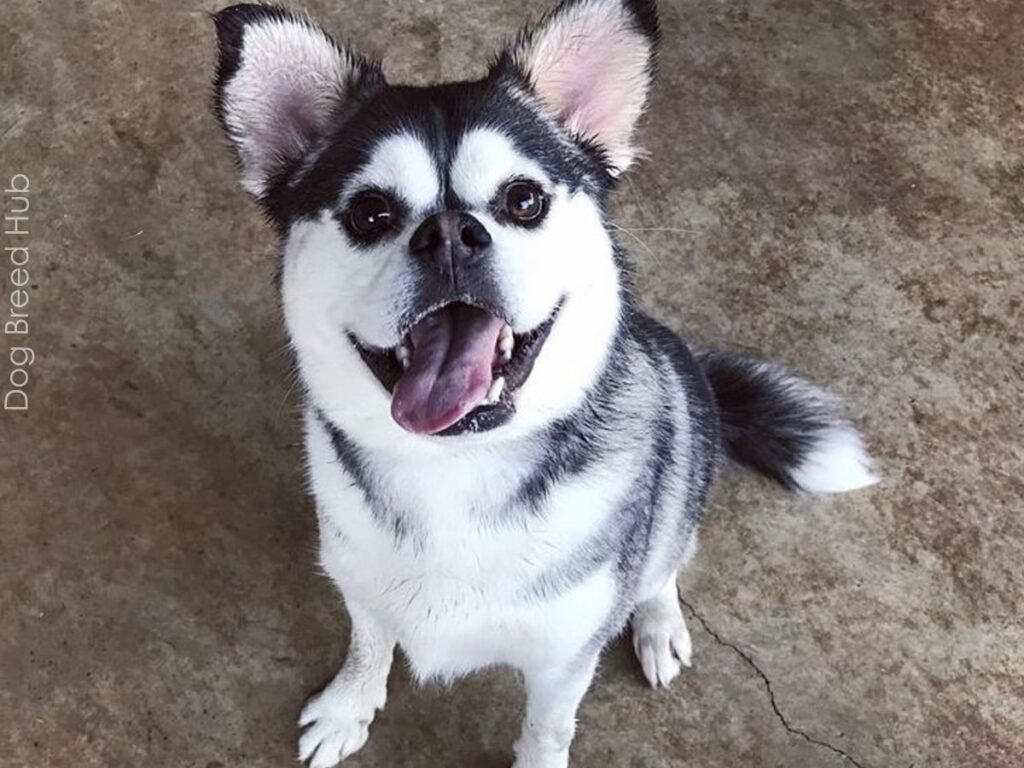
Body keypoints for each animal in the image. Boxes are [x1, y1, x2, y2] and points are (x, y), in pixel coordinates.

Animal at [209, 3, 880, 765]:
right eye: (371, 213)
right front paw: (351, 706)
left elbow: (547, 729)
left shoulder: (564, 657)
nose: (449, 233)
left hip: (680, 468)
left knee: (668, 560)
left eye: (524, 200)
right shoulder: (361, 583)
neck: (456, 468)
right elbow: (369, 644)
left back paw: (658, 624)